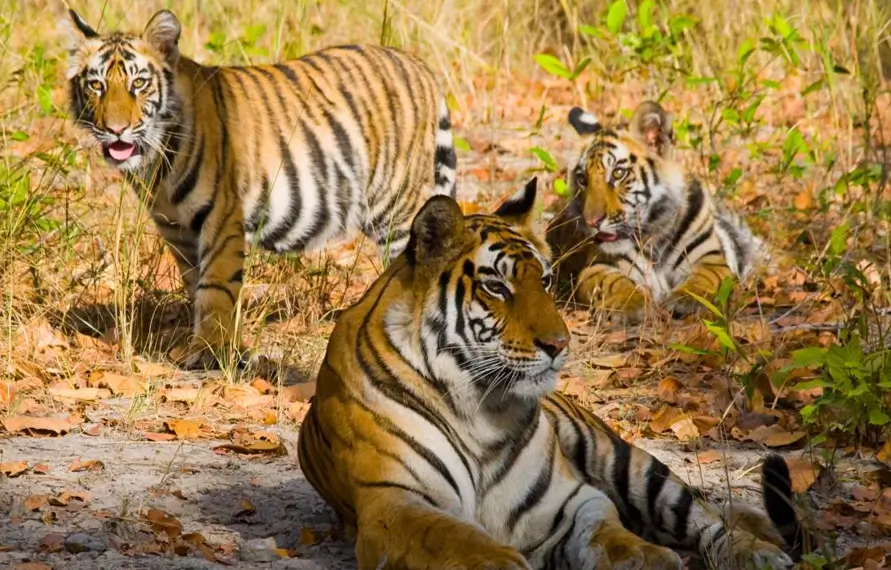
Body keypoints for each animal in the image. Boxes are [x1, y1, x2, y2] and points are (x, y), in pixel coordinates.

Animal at [63, 8, 457, 369]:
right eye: (96, 85)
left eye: (139, 84)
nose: (116, 130)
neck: (155, 163)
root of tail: (417, 64)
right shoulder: (176, 229)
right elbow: (196, 284)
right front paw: (226, 348)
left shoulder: (221, 217)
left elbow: (216, 286)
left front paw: (208, 351)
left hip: (396, 206)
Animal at [297, 178, 807, 569]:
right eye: (496, 287)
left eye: (543, 281)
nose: (560, 345)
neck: (479, 408)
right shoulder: (396, 501)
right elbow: (459, 540)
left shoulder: (568, 500)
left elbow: (611, 536)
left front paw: (648, 558)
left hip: (629, 462)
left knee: (706, 517)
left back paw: (757, 553)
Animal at [545, 100, 765, 319]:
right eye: (582, 179)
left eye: (618, 173)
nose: (591, 222)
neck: (654, 234)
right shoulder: (598, 266)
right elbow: (612, 283)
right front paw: (630, 304)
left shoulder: (711, 258)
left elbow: (706, 277)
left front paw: (687, 299)